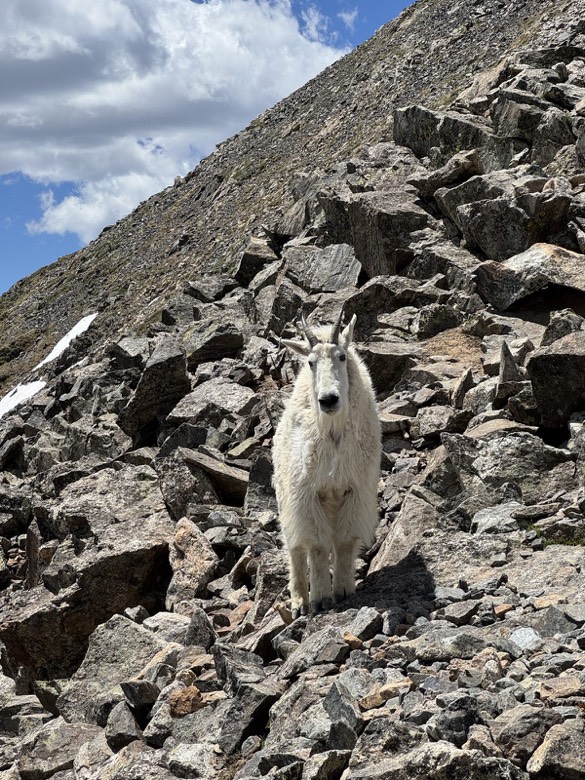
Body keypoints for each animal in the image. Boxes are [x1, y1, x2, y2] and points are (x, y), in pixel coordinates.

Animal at [272, 308, 381, 617]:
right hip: (286, 500)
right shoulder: (307, 494)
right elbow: (317, 547)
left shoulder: (355, 490)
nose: (328, 399)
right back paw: (299, 601)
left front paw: (344, 590)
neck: (333, 433)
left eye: (342, 356)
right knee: (295, 549)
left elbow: (344, 541)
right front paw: (320, 597)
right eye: (310, 362)